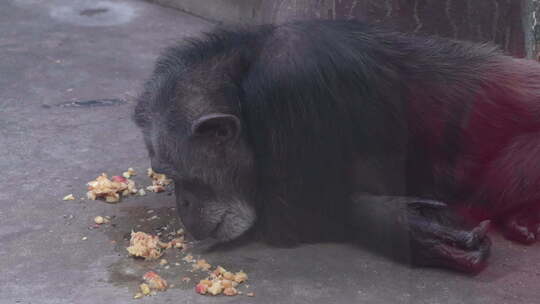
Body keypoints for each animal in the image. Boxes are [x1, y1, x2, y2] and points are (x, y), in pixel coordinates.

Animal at [134, 20, 540, 274]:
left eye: (178, 175)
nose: (183, 203)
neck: (243, 76)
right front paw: (413, 226)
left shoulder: (291, 79)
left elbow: (296, 216)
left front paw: (414, 228)